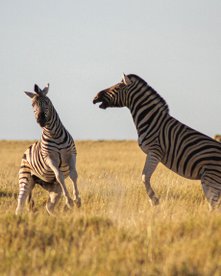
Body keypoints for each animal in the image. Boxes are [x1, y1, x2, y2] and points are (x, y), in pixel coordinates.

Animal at [15, 83, 81, 215]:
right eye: (32, 105)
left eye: (47, 102)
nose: (41, 120)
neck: (54, 134)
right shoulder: (50, 158)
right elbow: (59, 176)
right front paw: (70, 201)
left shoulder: (71, 154)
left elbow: (73, 175)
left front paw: (77, 200)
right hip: (25, 178)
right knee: (20, 203)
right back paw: (18, 217)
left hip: (54, 189)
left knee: (49, 206)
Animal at [93, 73, 221, 209]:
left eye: (117, 87)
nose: (95, 97)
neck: (152, 120)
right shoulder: (152, 153)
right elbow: (145, 176)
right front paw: (153, 200)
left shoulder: (155, 151)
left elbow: (144, 176)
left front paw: (154, 200)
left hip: (210, 180)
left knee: (213, 206)